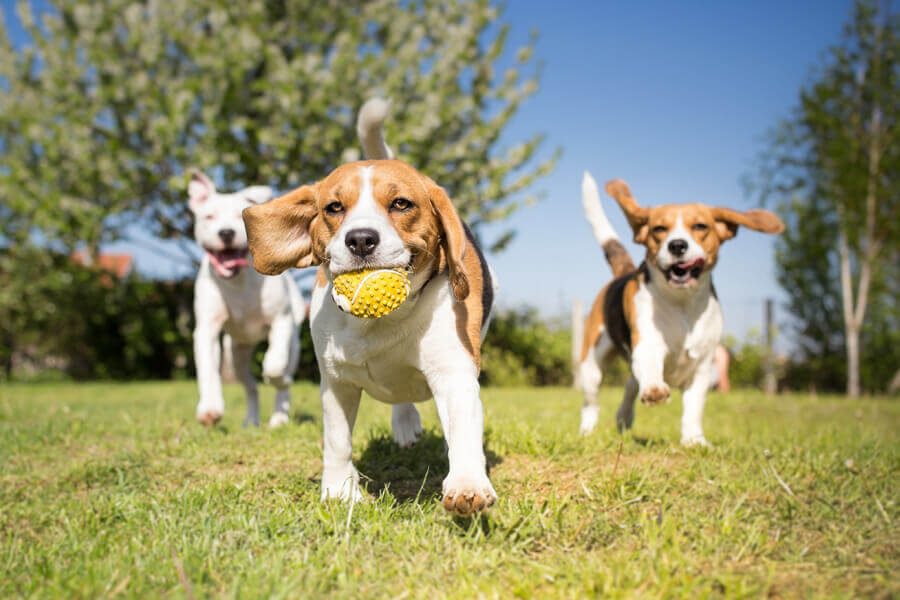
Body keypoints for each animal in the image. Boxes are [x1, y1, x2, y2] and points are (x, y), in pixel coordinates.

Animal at [189, 171, 306, 428]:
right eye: (209, 216)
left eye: (239, 216)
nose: (226, 233)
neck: (238, 281)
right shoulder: (206, 330)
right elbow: (207, 370)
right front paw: (210, 409)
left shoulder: (281, 321)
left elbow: (274, 365)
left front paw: (277, 378)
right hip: (236, 355)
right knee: (251, 386)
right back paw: (251, 420)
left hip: (293, 343)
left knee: (283, 376)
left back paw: (279, 417)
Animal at [241, 99, 500, 516]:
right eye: (333, 207)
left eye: (401, 204)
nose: (361, 239)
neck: (380, 323)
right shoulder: (336, 382)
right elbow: (337, 441)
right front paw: (338, 492)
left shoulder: (454, 372)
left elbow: (463, 431)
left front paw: (467, 484)